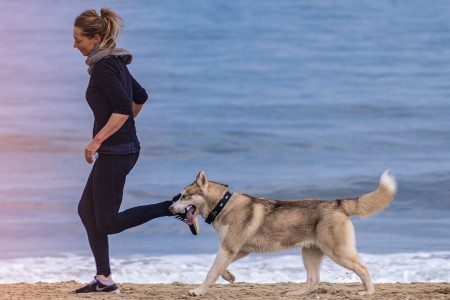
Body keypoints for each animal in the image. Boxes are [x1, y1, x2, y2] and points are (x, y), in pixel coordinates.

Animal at [170, 170, 398, 296]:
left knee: (363, 268)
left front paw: (198, 291)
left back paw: (368, 291)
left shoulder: (229, 247)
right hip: (310, 253)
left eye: (184, 196)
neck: (223, 205)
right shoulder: (236, 249)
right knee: (313, 280)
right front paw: (229, 276)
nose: (171, 209)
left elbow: (210, 272)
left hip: (338, 252)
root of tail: (338, 203)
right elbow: (220, 269)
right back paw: (296, 293)